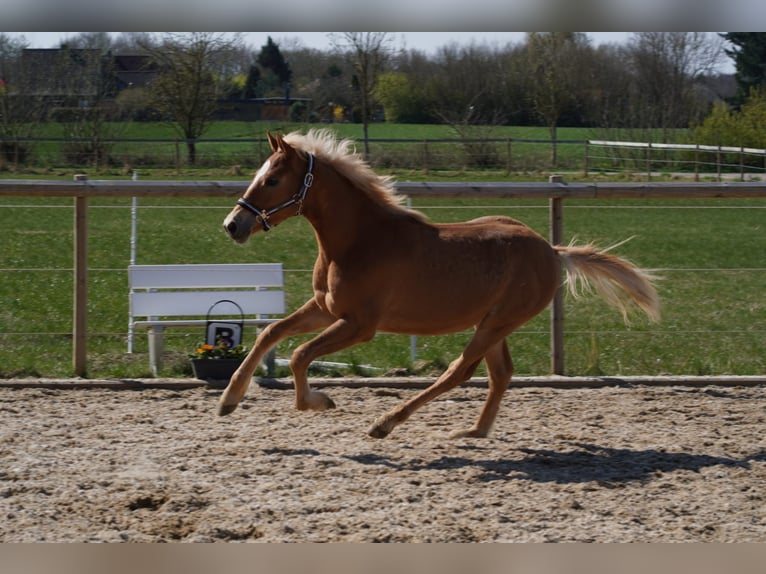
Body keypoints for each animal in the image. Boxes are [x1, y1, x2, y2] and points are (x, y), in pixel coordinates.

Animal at [219, 129, 660, 439]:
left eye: (273, 180)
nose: (233, 225)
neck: (360, 241)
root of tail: (552, 250)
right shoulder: (325, 309)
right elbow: (272, 333)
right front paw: (228, 400)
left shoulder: (359, 326)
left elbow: (299, 354)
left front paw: (319, 401)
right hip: (494, 323)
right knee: (500, 373)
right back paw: (474, 431)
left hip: (497, 323)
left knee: (460, 370)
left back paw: (385, 423)